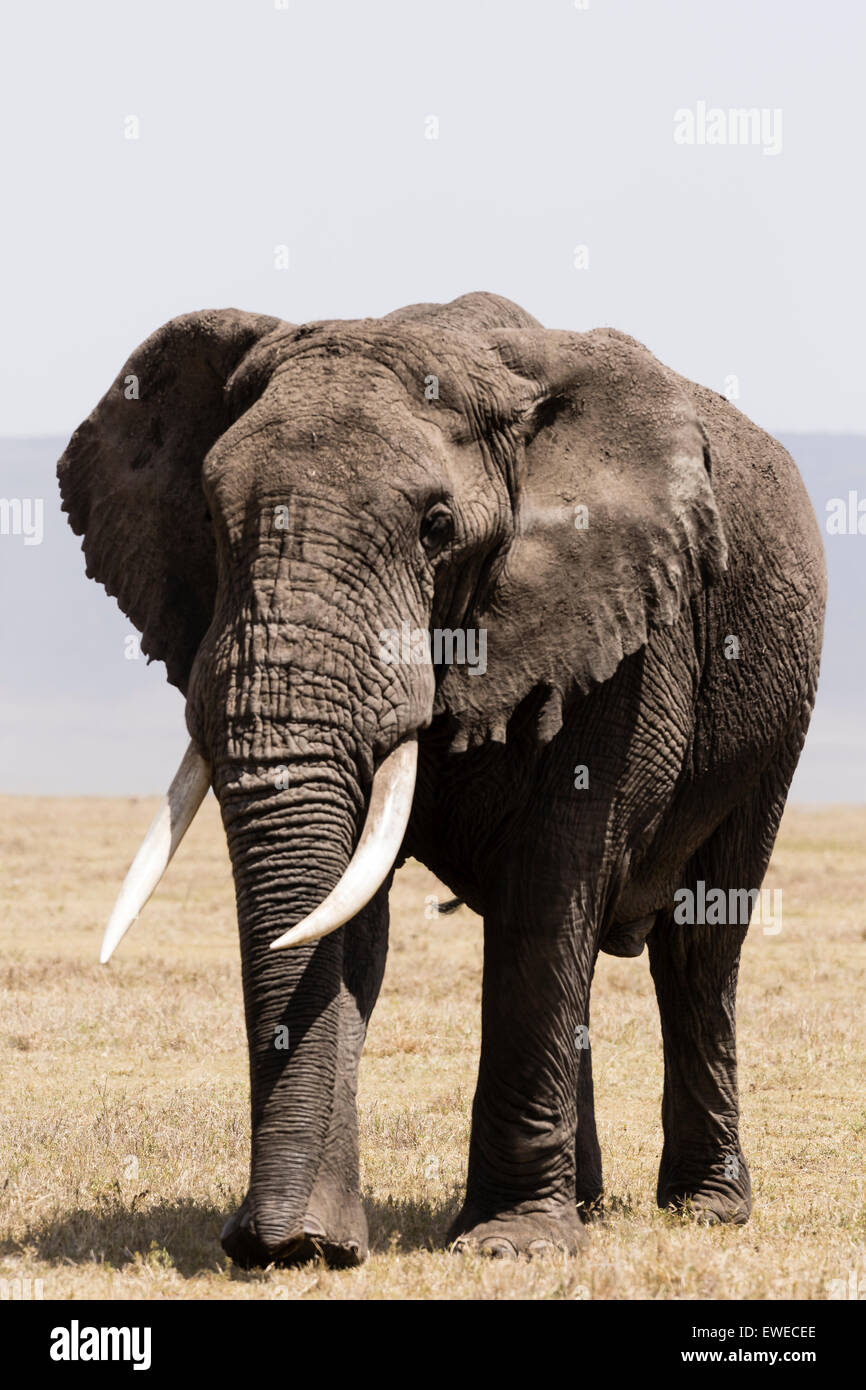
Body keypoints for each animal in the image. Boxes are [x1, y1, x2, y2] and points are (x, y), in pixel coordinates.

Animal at [57, 296, 828, 1273]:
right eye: (207, 511)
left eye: (435, 528)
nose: (260, 1244)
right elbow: (356, 911)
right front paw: (313, 1244)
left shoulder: (613, 631)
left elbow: (550, 888)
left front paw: (510, 1249)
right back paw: (588, 1200)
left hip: (774, 713)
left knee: (697, 948)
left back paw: (704, 1210)